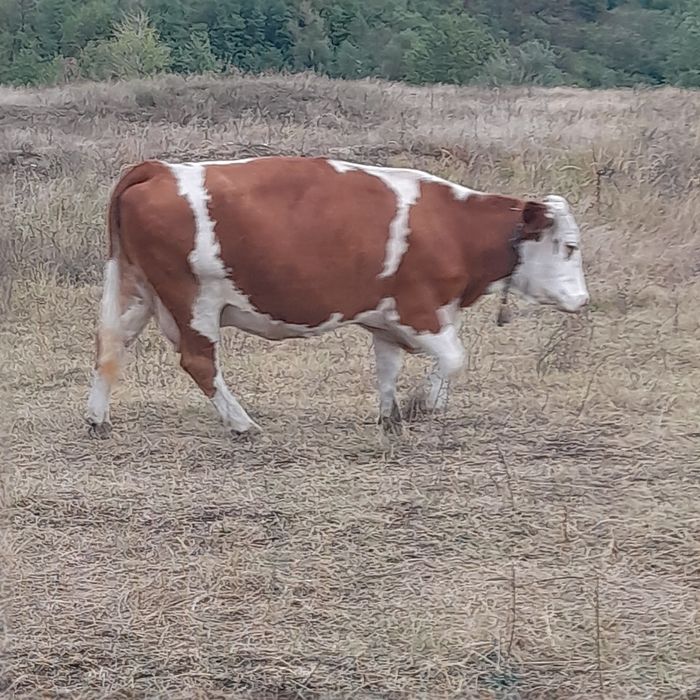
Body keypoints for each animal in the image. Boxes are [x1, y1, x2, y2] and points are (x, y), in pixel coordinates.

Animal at [86, 156, 589, 437]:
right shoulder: (421, 311)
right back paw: (242, 424)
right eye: (569, 246)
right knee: (199, 362)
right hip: (193, 301)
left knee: (111, 347)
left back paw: (98, 419)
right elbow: (454, 359)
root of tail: (159, 169)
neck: (453, 227)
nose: (583, 301)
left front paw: (392, 417)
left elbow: (387, 370)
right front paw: (424, 405)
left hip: (138, 292)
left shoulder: (386, 321)